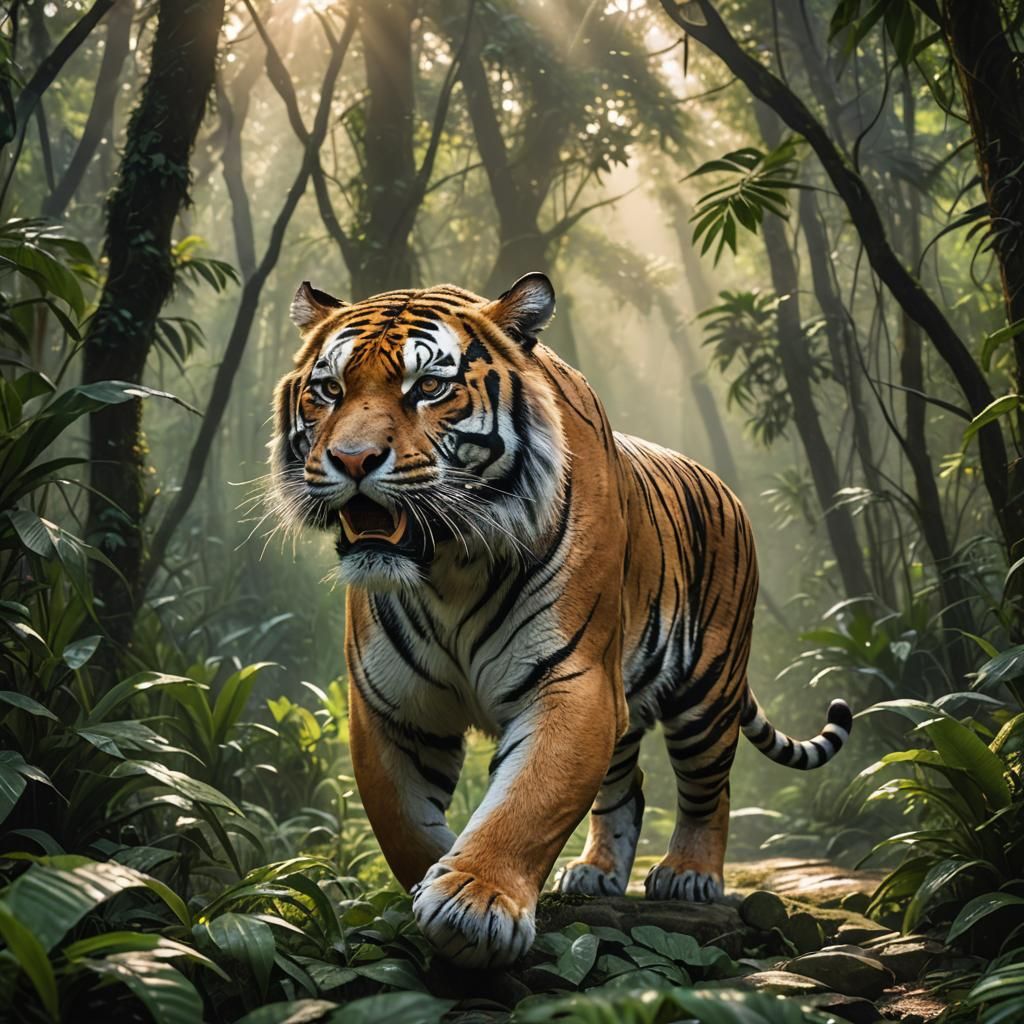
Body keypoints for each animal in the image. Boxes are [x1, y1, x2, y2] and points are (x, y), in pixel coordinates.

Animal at [270, 272, 852, 969]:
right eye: (329, 390)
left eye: (429, 387)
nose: (352, 460)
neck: (447, 568)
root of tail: (727, 490)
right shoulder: (393, 706)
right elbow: (403, 822)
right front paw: (433, 883)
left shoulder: (573, 684)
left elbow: (528, 801)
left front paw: (474, 903)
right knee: (628, 786)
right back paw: (597, 872)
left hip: (707, 695)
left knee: (711, 788)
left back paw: (689, 874)